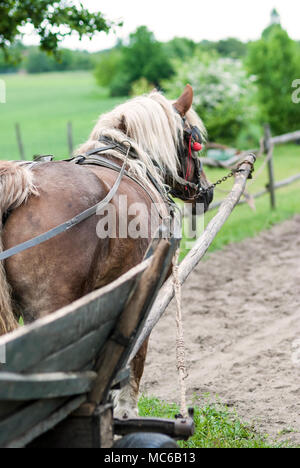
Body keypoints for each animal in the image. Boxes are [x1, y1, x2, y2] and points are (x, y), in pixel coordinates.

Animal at [0, 85, 213, 416]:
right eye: (195, 139)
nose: (206, 191)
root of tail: (20, 188)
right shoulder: (142, 293)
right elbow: (135, 353)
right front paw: (126, 409)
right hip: (51, 307)